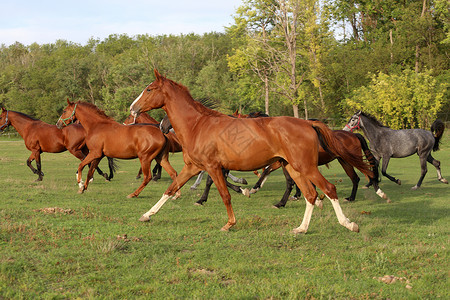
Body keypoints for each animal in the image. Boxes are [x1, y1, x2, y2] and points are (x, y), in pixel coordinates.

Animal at [128, 69, 360, 233]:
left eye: (149, 89)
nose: (132, 108)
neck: (197, 125)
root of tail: (308, 123)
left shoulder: (213, 167)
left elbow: (224, 194)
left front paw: (229, 223)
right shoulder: (193, 167)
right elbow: (170, 189)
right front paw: (147, 215)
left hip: (306, 167)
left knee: (328, 189)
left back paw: (349, 224)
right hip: (294, 168)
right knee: (310, 195)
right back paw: (301, 228)